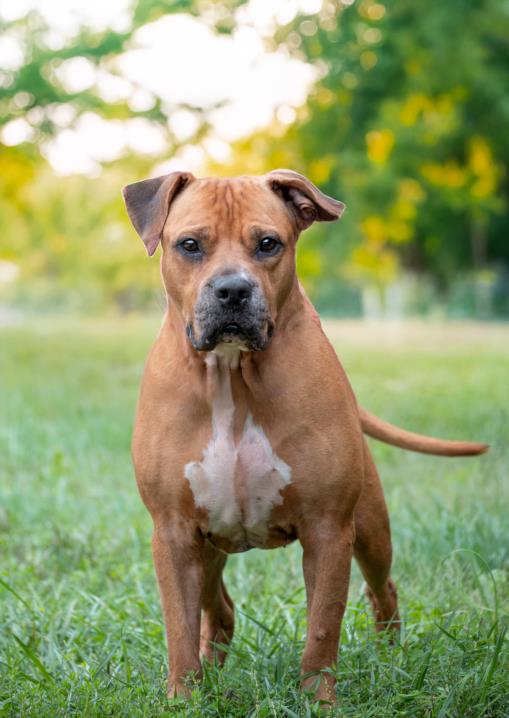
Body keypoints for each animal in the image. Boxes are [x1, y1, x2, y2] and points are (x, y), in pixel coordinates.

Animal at [121, 172, 486, 704]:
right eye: (189, 245)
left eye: (268, 243)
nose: (232, 290)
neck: (233, 374)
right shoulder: (173, 532)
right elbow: (179, 628)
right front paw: (183, 699)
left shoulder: (328, 530)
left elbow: (322, 628)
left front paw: (319, 700)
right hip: (205, 548)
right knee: (218, 607)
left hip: (371, 532)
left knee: (383, 589)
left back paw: (390, 658)